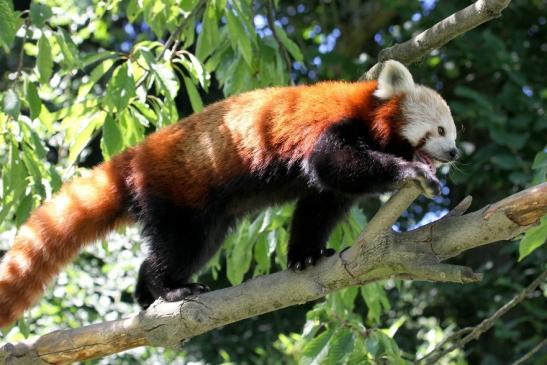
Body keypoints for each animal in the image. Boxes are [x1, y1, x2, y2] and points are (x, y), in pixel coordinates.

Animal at [0, 60, 458, 328]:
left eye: (453, 134)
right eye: (440, 130)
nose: (453, 152)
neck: (369, 111)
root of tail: (134, 157)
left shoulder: (327, 181)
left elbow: (320, 203)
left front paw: (306, 256)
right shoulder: (331, 128)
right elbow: (333, 165)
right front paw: (411, 172)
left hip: (207, 216)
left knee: (196, 247)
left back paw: (147, 293)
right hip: (176, 193)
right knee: (179, 247)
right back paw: (168, 289)